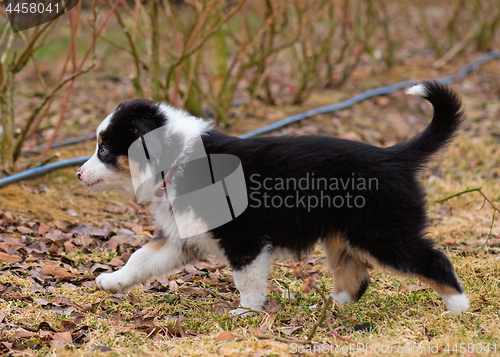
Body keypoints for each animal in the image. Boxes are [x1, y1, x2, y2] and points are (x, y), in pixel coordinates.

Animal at [77, 80, 468, 312]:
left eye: (103, 149)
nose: (79, 173)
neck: (175, 160)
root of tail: (395, 155)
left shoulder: (244, 237)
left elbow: (246, 278)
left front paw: (245, 312)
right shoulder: (181, 236)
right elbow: (141, 258)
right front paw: (111, 281)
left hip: (381, 233)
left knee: (434, 261)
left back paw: (458, 310)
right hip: (344, 235)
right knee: (356, 277)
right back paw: (328, 310)